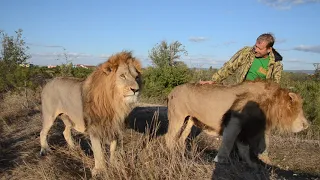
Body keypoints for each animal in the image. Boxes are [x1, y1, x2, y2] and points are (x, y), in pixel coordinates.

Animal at [165, 79, 310, 167]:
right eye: (297, 109)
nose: (306, 125)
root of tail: (172, 90)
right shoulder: (234, 122)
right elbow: (228, 143)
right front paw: (220, 161)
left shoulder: (245, 131)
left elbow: (244, 150)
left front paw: (251, 164)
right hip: (177, 117)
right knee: (169, 137)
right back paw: (171, 154)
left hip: (189, 120)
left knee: (181, 138)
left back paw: (182, 153)